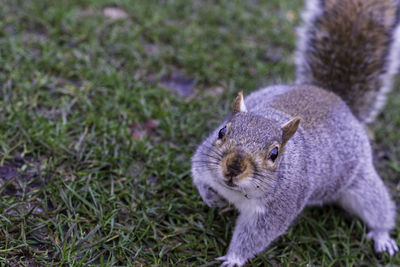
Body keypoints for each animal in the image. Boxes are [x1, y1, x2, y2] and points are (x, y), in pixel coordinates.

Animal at [190, 0, 400, 266]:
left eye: (274, 154)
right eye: (221, 131)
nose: (233, 167)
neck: (238, 192)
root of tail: (333, 97)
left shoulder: (277, 209)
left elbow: (255, 236)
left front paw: (234, 258)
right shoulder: (203, 158)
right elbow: (198, 176)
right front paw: (211, 198)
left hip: (361, 183)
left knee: (378, 207)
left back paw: (383, 236)